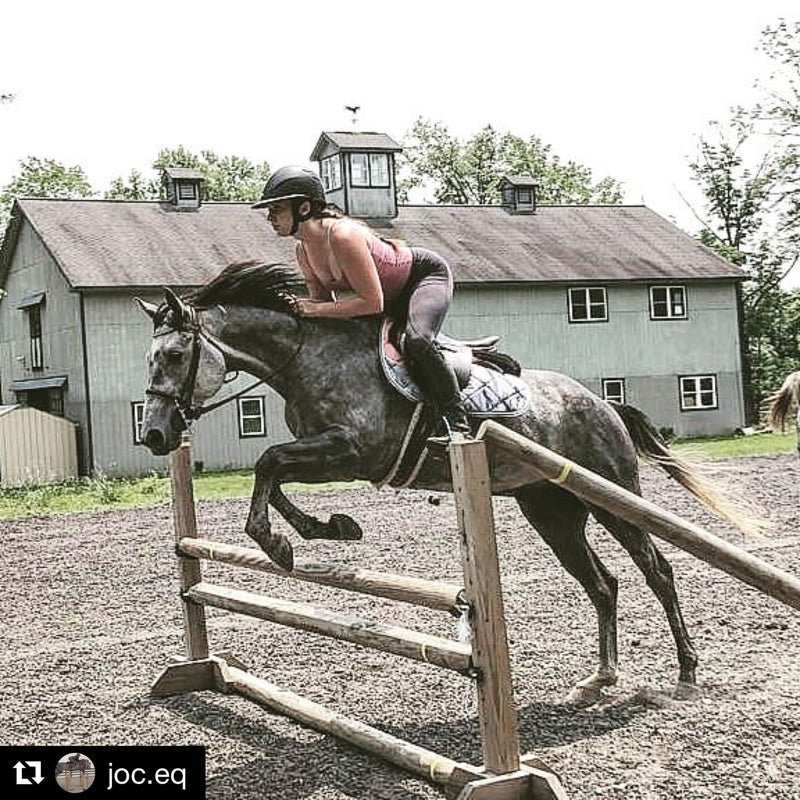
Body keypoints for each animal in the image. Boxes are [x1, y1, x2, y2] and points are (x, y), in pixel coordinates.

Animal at [137, 261, 755, 706]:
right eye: (150, 358)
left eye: (175, 354)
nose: (156, 435)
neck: (306, 357)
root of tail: (603, 402)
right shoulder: (330, 454)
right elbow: (274, 472)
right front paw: (326, 528)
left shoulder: (354, 451)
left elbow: (268, 462)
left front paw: (279, 542)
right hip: (551, 510)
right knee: (603, 584)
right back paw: (599, 679)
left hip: (609, 496)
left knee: (658, 571)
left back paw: (686, 674)